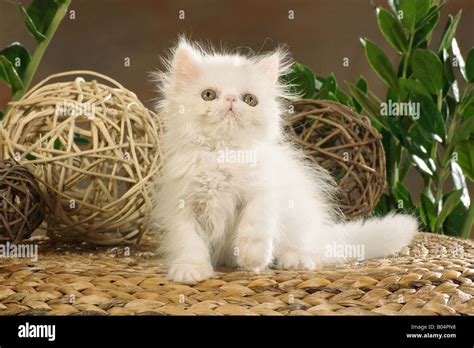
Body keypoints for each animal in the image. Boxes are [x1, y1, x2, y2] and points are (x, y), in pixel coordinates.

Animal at [151, 38, 414, 282]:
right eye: (208, 95)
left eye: (249, 99)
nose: (231, 100)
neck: (223, 154)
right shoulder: (182, 204)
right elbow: (189, 240)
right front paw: (190, 269)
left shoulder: (264, 190)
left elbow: (255, 224)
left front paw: (253, 257)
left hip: (300, 218)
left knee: (311, 250)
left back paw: (294, 259)